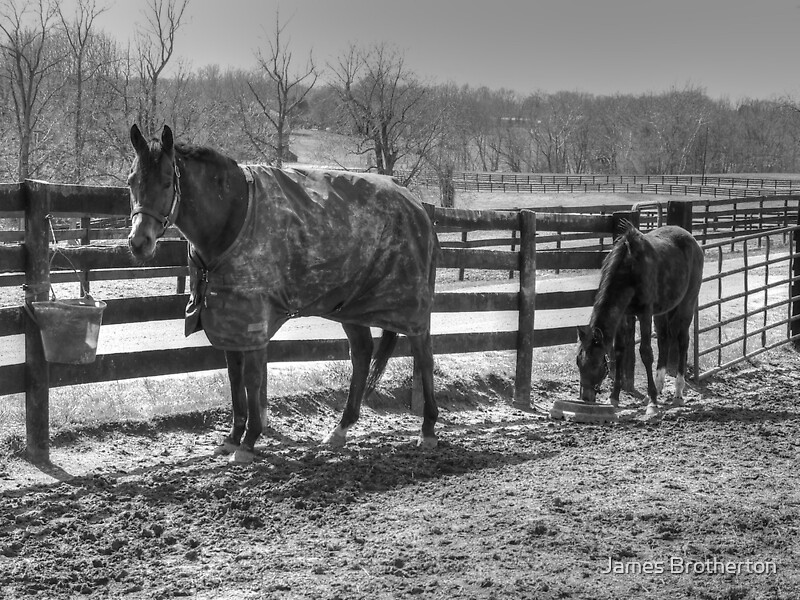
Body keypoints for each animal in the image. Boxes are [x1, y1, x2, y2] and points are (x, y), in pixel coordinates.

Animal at [126, 125, 438, 464]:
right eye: (132, 181)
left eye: (167, 181)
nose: (139, 242)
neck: (234, 215)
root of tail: (417, 205)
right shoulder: (229, 319)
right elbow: (235, 379)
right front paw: (232, 438)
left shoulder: (252, 320)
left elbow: (252, 380)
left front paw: (249, 442)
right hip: (349, 305)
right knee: (362, 353)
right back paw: (340, 430)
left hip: (411, 307)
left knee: (423, 355)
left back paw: (428, 430)